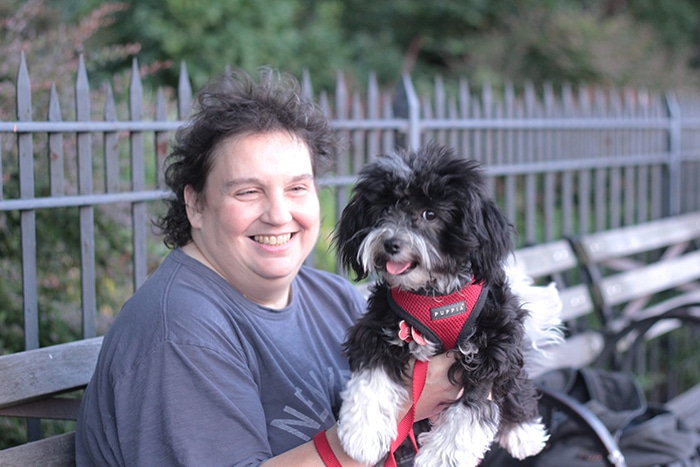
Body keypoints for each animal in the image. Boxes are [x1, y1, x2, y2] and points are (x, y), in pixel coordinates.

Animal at [332, 144, 556, 467]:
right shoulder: (377, 329)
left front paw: (439, 458)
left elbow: (470, 411)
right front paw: (363, 435)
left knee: (516, 383)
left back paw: (522, 432)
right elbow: (371, 378)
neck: (432, 294)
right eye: (384, 210)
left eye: (430, 214)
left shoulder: (492, 351)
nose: (390, 243)